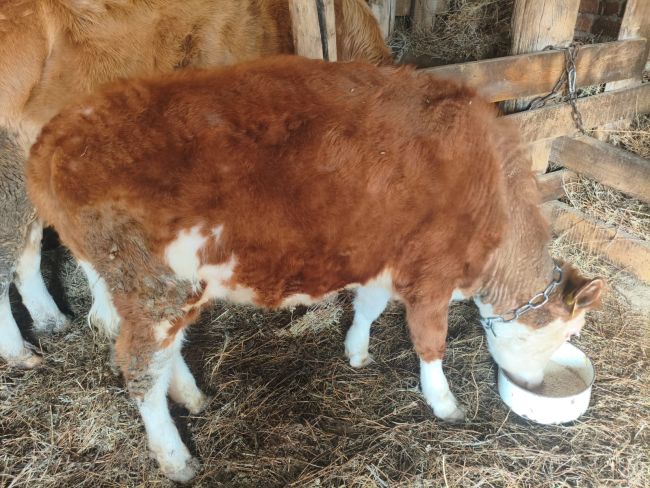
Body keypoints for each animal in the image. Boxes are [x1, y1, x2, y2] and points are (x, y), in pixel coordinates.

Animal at [26, 56, 603, 481]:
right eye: (560, 335)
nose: (532, 383)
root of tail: (57, 133)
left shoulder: (384, 260)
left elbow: (369, 308)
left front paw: (356, 352)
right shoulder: (431, 273)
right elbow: (429, 343)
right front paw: (443, 403)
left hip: (159, 289)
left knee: (165, 355)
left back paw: (192, 397)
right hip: (154, 286)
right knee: (141, 368)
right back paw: (176, 459)